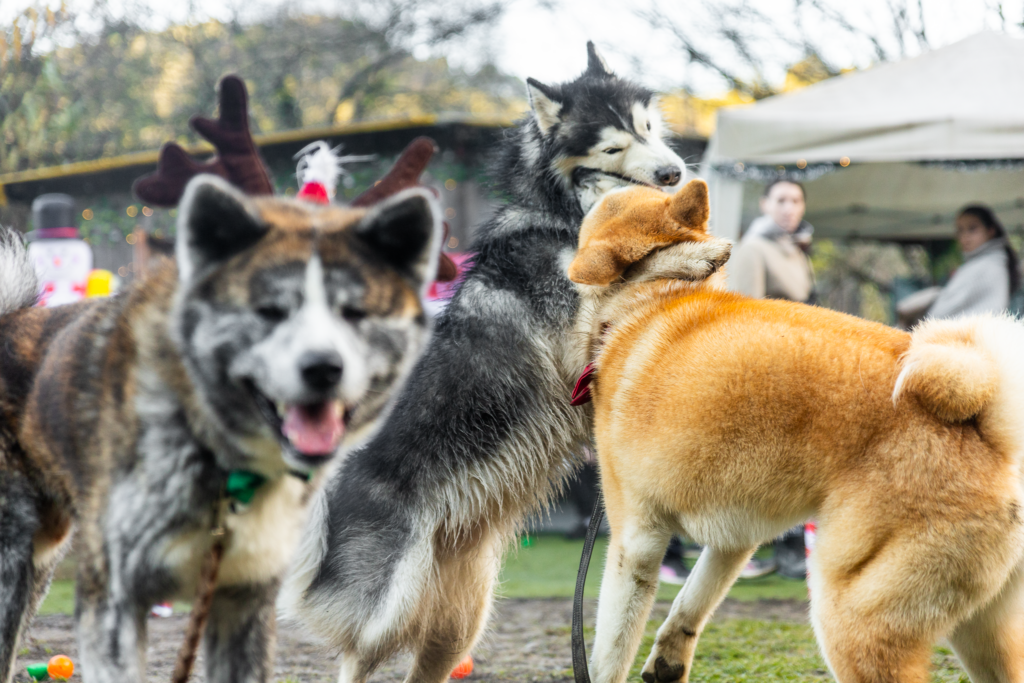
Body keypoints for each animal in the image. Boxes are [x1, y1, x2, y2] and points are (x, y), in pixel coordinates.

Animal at [569, 180, 1024, 683]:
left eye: (610, 196)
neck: (653, 298)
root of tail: (989, 436)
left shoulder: (636, 541)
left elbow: (609, 650)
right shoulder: (734, 539)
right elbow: (692, 599)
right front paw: (669, 658)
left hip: (850, 617)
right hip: (982, 631)